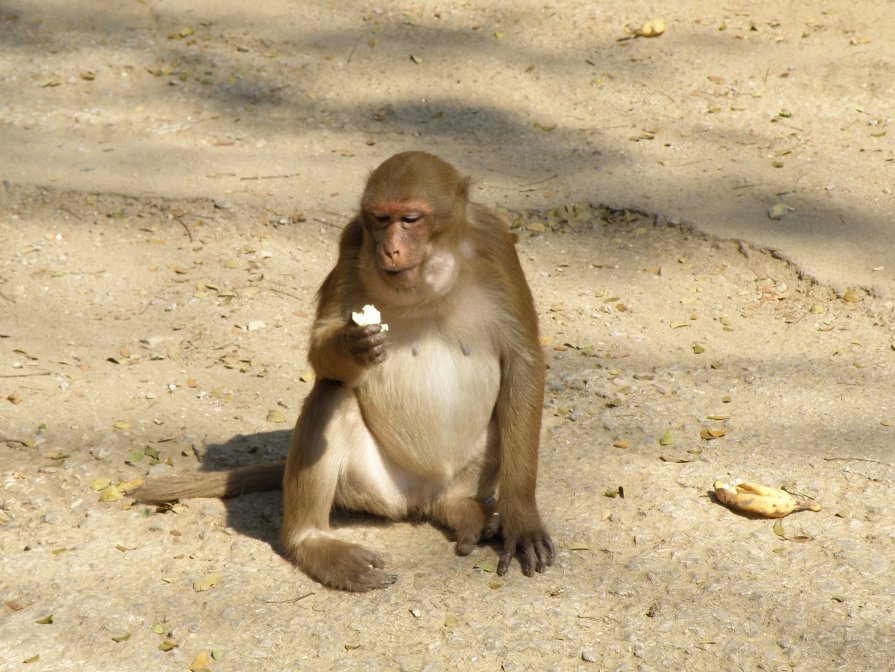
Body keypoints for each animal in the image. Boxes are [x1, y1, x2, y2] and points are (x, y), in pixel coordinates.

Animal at [136, 151, 556, 588]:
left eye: (410, 219)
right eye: (380, 219)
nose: (390, 250)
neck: (430, 277)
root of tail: (421, 497)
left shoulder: (496, 244)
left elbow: (523, 362)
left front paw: (522, 516)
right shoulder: (353, 241)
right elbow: (321, 349)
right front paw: (352, 345)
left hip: (469, 470)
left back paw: (464, 510)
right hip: (373, 486)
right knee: (331, 392)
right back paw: (312, 542)